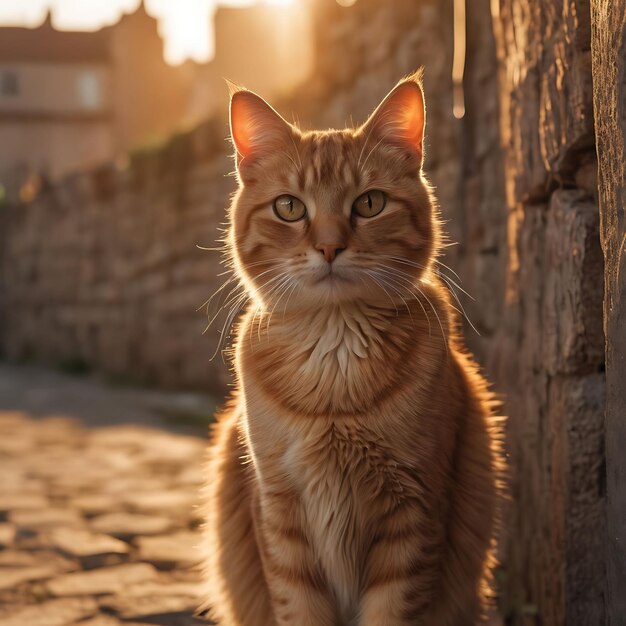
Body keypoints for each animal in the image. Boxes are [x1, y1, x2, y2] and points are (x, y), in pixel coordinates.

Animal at [200, 70, 502, 620]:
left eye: (369, 203)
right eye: (289, 208)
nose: (328, 247)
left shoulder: (414, 514)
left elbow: (392, 610)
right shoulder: (280, 515)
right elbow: (297, 607)